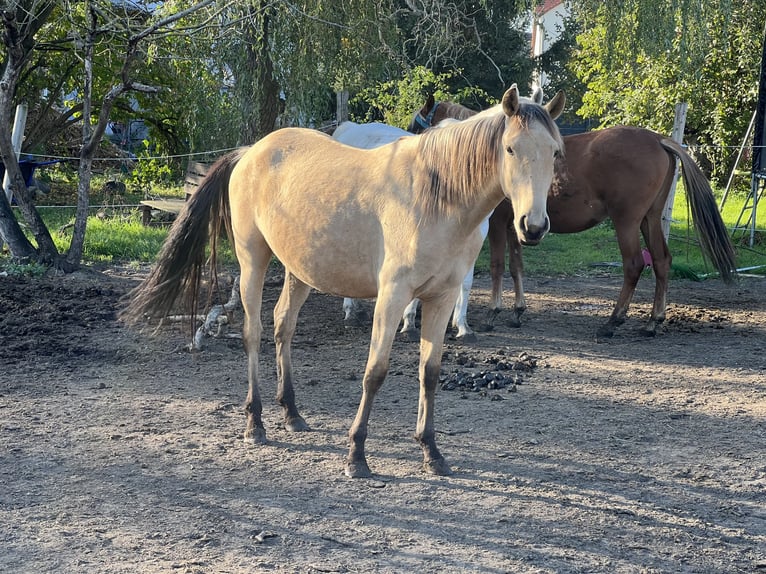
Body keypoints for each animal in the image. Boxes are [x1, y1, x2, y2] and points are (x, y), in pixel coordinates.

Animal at [412, 94, 740, 338]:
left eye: (417, 124)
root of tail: (658, 139)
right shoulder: (518, 225)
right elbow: (516, 265)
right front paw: (517, 311)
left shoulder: (497, 223)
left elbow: (497, 266)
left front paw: (494, 312)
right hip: (650, 219)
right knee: (661, 260)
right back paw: (653, 320)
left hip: (627, 221)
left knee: (634, 264)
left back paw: (613, 320)